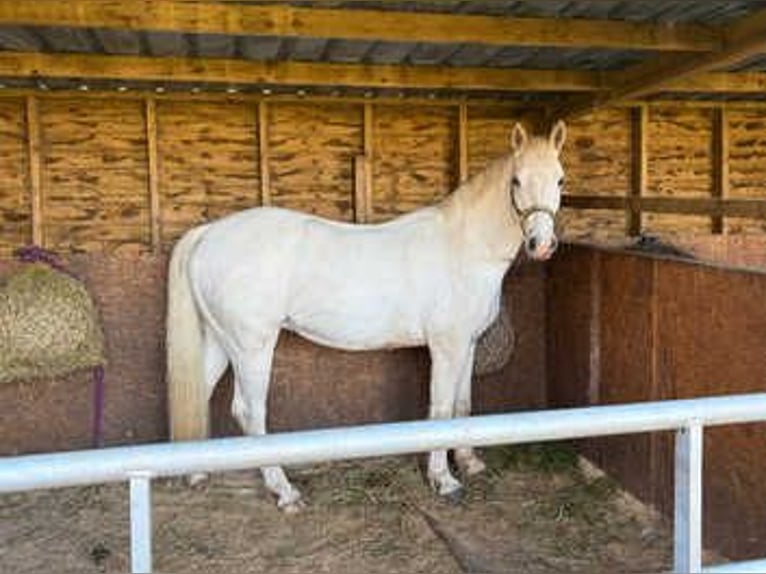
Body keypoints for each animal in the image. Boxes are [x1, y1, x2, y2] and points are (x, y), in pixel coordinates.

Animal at [166, 120, 567, 511]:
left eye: (561, 179)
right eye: (517, 180)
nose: (542, 245)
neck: (464, 246)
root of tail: (209, 233)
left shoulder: (467, 345)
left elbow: (462, 405)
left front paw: (469, 463)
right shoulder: (446, 347)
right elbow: (440, 410)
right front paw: (444, 481)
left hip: (222, 342)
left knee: (201, 394)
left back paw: (197, 474)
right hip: (252, 347)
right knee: (250, 412)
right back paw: (285, 492)